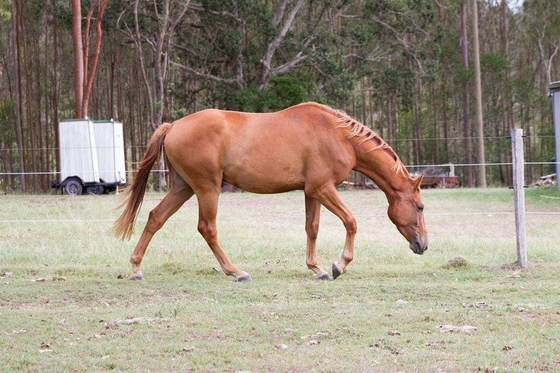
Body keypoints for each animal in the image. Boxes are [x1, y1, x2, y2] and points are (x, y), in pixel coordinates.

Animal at [114, 101, 428, 282]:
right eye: (420, 207)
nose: (423, 245)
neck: (339, 135)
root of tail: (173, 125)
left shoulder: (312, 192)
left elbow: (312, 228)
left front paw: (317, 269)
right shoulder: (323, 188)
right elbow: (351, 221)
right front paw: (339, 265)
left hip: (184, 188)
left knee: (155, 217)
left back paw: (136, 268)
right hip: (207, 188)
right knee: (207, 228)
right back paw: (236, 272)